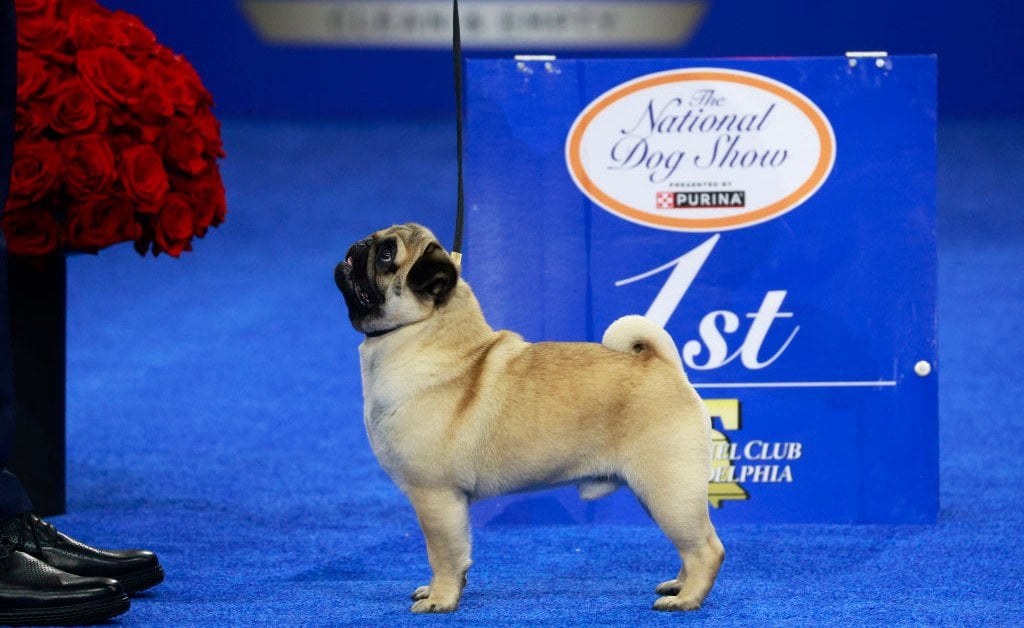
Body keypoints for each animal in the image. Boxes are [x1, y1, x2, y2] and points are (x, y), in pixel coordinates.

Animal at [331, 223, 724, 610]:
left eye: (386, 255)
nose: (359, 245)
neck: (423, 335)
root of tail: (663, 365)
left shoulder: (436, 496)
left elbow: (442, 554)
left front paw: (440, 600)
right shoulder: (449, 502)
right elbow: (459, 555)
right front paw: (440, 591)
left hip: (667, 490)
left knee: (705, 548)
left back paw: (687, 599)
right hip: (661, 494)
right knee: (690, 548)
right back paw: (678, 585)